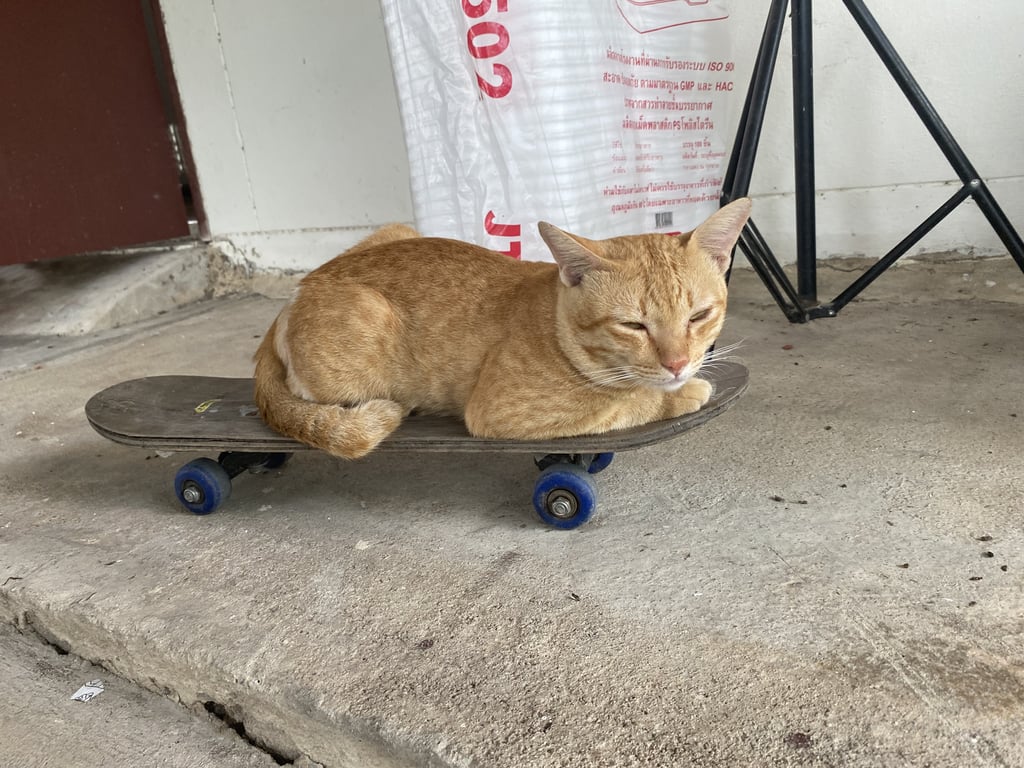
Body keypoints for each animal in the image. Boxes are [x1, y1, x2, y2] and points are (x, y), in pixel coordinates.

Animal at [253, 198, 751, 459]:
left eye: (698, 316)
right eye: (633, 325)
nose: (678, 364)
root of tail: (294, 295)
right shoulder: (503, 412)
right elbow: (625, 403)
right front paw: (682, 393)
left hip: (397, 229)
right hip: (365, 326)